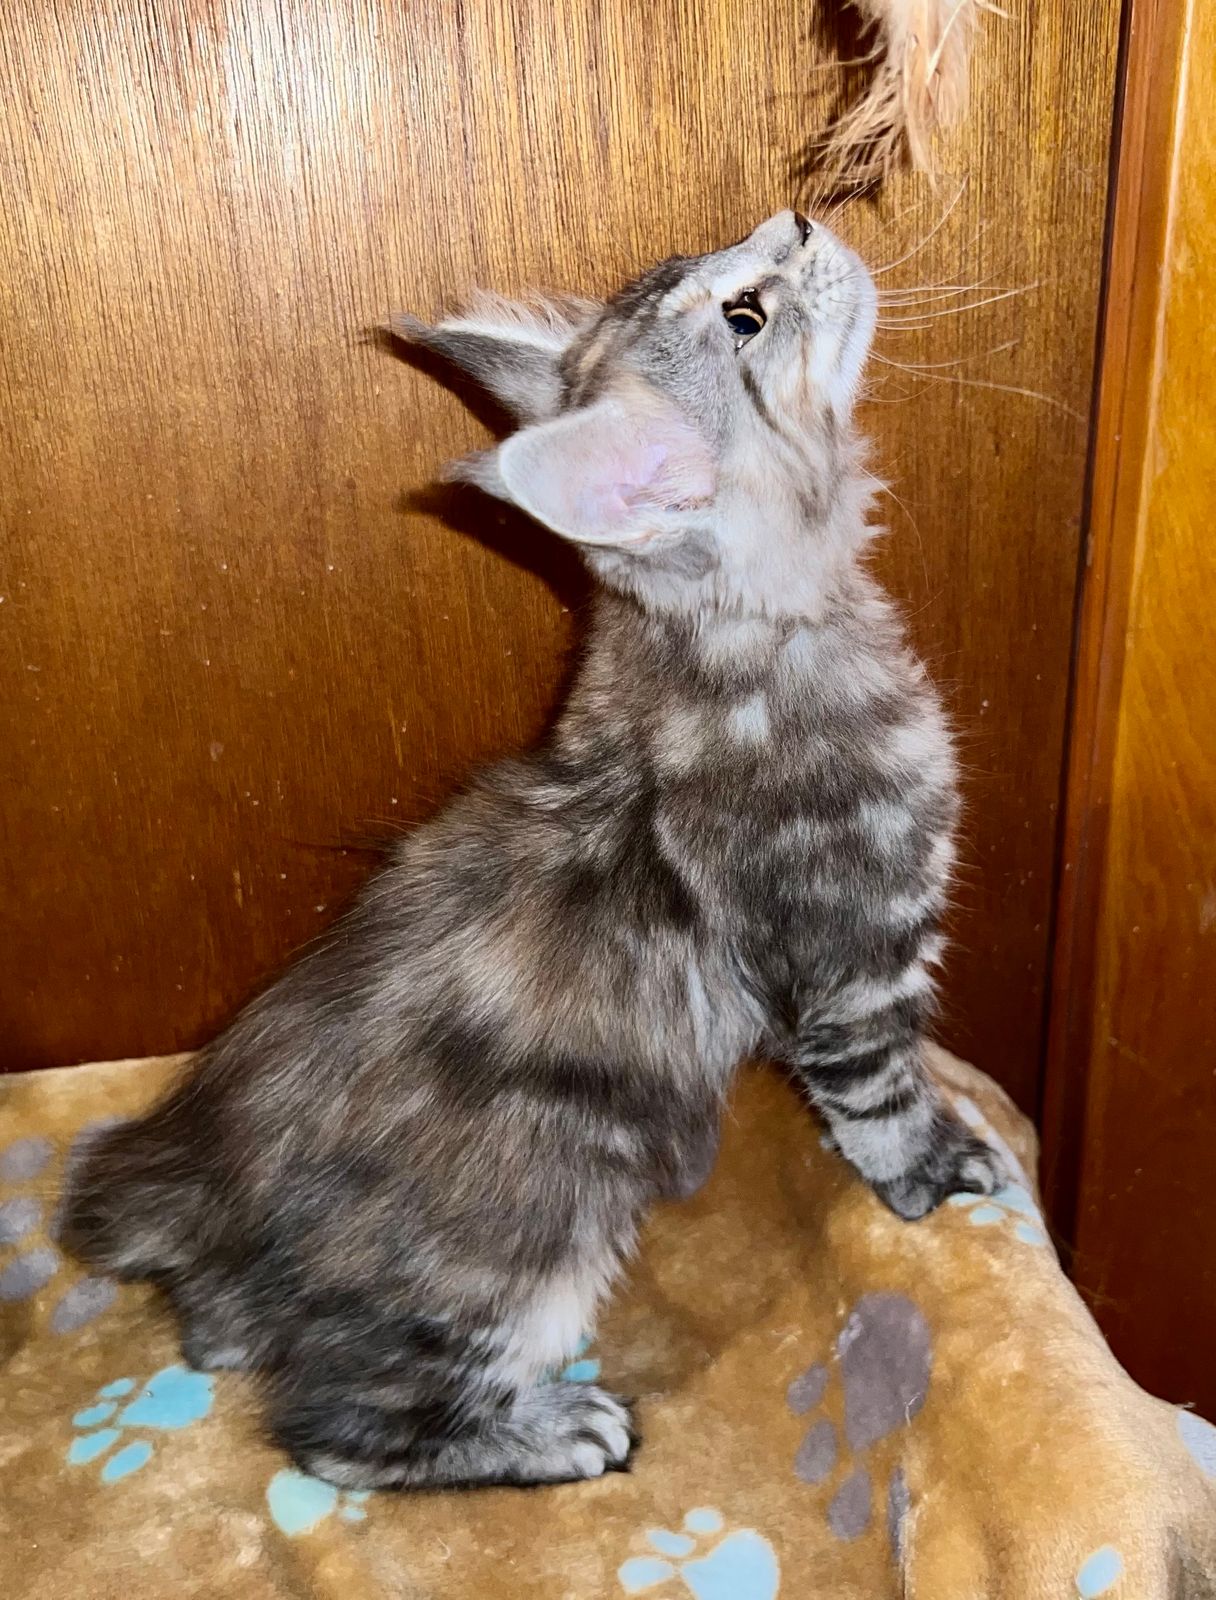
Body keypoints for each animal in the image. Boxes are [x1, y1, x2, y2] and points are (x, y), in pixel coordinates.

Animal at [63, 210, 1002, 1492]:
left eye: (733, 270)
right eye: (744, 313)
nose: (799, 219)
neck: (741, 643)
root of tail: (188, 1183)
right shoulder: (851, 953)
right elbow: (882, 1094)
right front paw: (935, 1171)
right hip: (535, 1240)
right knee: (339, 1432)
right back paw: (554, 1430)